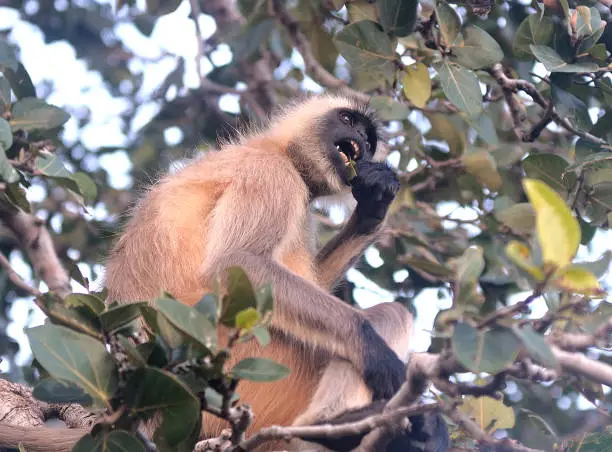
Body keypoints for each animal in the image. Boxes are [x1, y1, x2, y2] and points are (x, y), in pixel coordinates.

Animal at [0, 93, 450, 450]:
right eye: (348, 120)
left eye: (370, 139)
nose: (363, 142)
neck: (279, 150)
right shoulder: (269, 174)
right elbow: (239, 263)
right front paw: (376, 352)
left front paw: (373, 208)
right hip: (246, 371)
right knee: (390, 313)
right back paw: (333, 426)